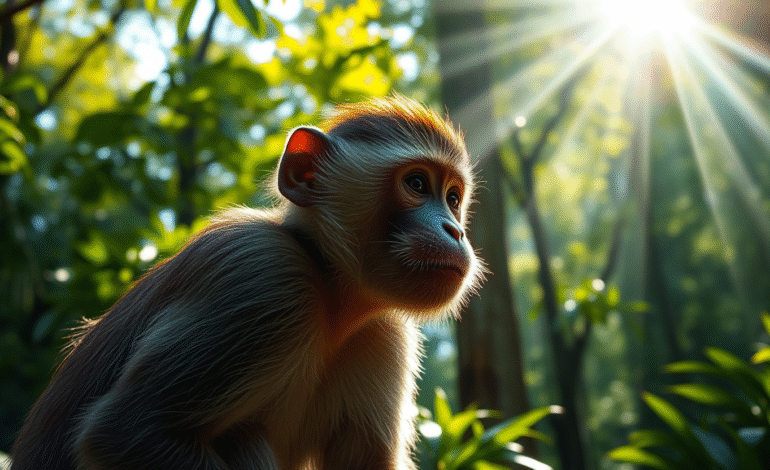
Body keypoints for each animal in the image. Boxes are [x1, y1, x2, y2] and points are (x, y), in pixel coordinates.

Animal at [11, 95, 483, 470]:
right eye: (417, 184)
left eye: (452, 198)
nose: (455, 230)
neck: (330, 297)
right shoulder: (262, 274)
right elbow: (124, 431)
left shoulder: (383, 333)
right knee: (242, 435)